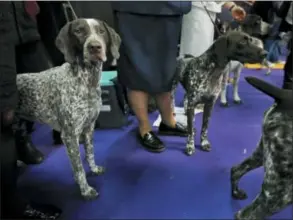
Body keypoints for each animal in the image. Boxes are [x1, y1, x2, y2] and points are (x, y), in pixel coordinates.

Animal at [15, 18, 120, 199]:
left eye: (101, 31)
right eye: (78, 31)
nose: (94, 47)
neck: (87, 80)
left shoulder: (89, 127)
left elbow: (89, 153)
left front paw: (94, 169)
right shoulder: (70, 135)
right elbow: (78, 168)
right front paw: (85, 190)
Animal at [230, 76, 290, 219]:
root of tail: (284, 94)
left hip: (262, 154)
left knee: (236, 170)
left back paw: (236, 193)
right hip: (281, 193)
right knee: (245, 215)